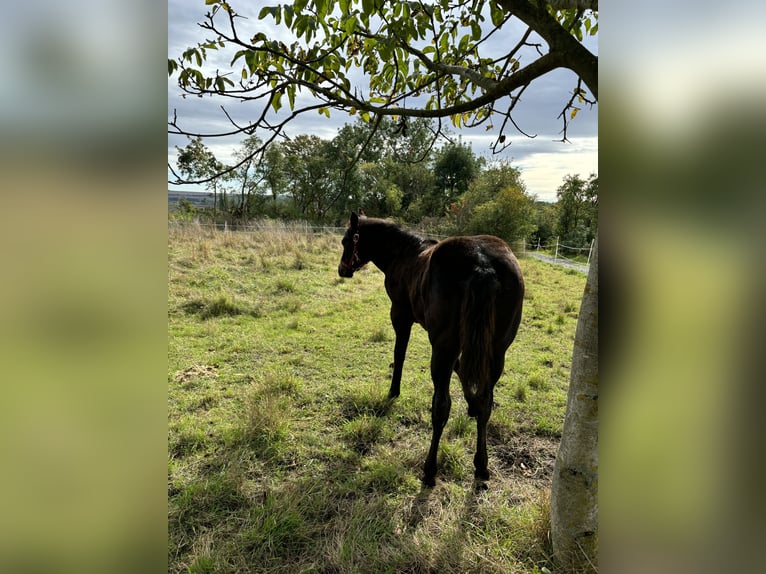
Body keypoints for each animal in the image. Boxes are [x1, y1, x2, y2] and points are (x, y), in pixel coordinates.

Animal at [340, 212, 524, 486]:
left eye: (346, 241)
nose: (342, 270)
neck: (404, 253)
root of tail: (482, 265)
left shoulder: (401, 316)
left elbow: (399, 354)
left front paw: (393, 391)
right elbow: (463, 370)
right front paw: (470, 404)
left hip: (442, 348)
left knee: (441, 407)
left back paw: (429, 470)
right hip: (496, 352)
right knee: (486, 402)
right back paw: (481, 465)